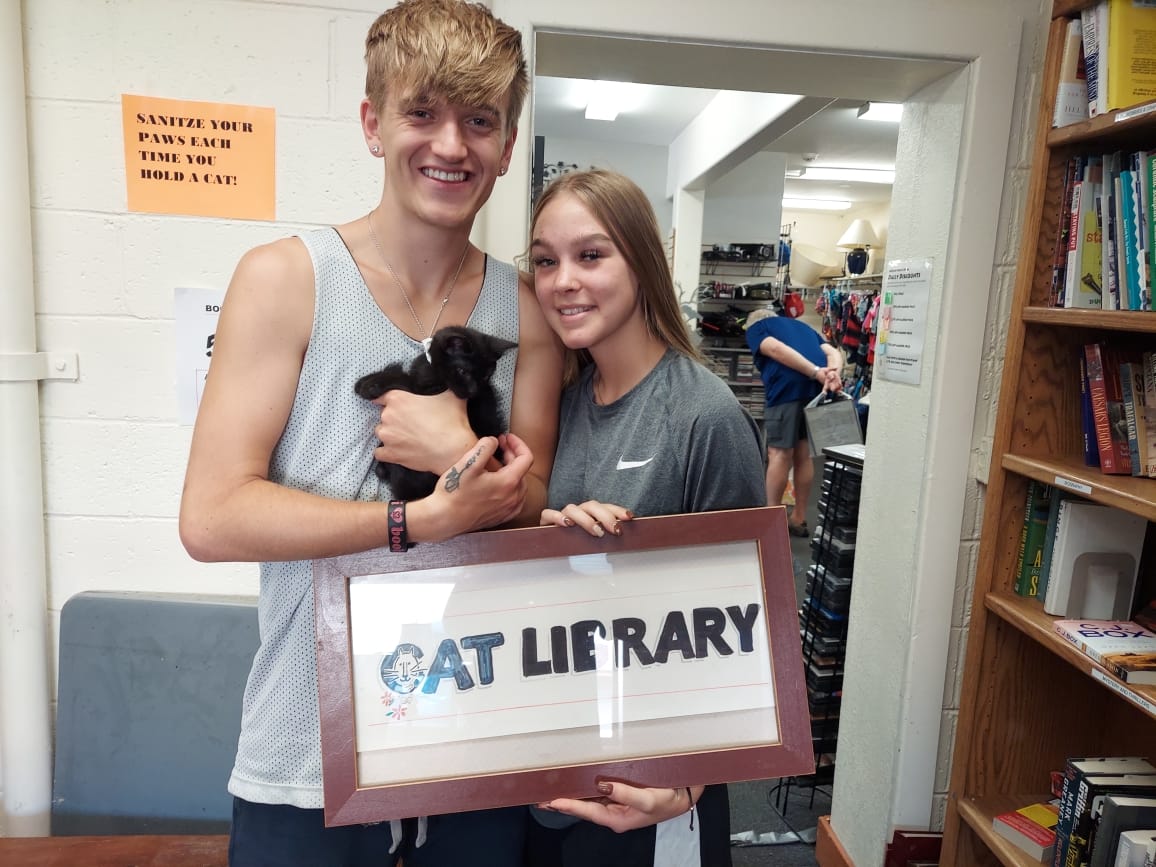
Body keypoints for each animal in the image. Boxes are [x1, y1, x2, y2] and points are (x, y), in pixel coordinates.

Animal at [354, 325, 517, 499]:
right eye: (462, 371)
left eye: (486, 376)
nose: (473, 392)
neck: (434, 372)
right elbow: (405, 375)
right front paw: (364, 381)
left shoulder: (424, 394)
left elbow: (404, 380)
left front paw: (370, 385)